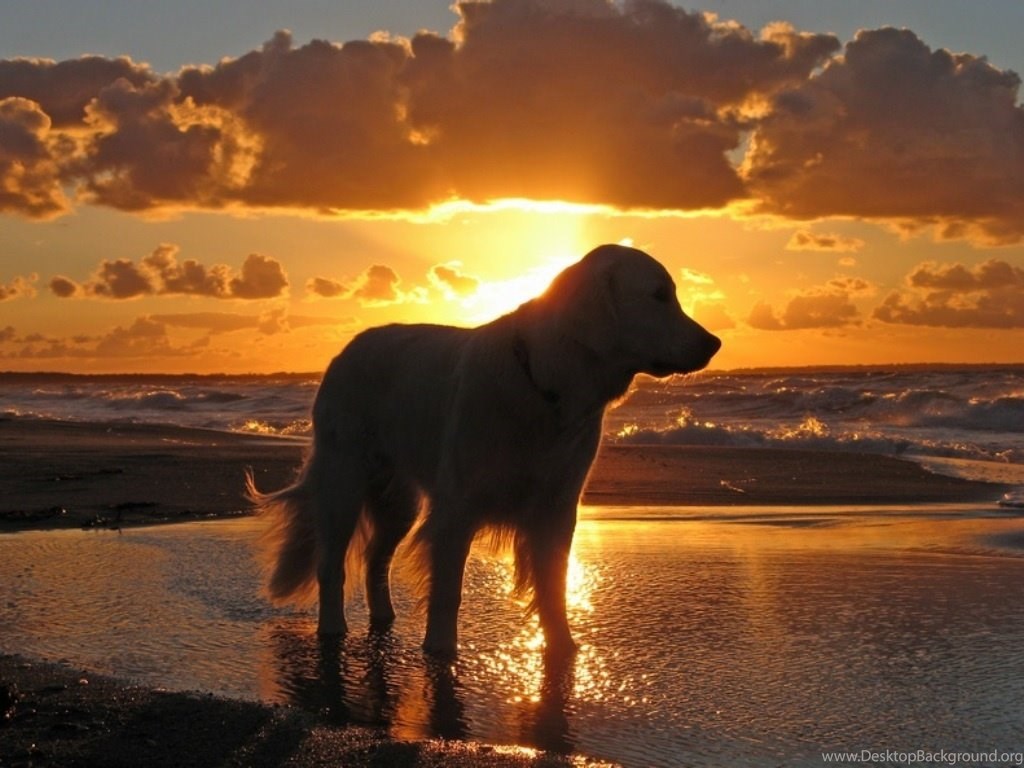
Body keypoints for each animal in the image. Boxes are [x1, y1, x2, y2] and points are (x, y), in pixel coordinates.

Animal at [246, 243, 720, 659]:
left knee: (376, 559)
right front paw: (441, 652)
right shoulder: (458, 508)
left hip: (398, 501)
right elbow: (448, 591)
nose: (714, 343)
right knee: (332, 564)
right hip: (343, 483)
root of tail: (344, 352)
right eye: (658, 295)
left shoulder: (557, 506)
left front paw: (562, 649)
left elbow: (554, 586)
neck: (545, 386)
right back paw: (333, 631)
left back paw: (383, 619)